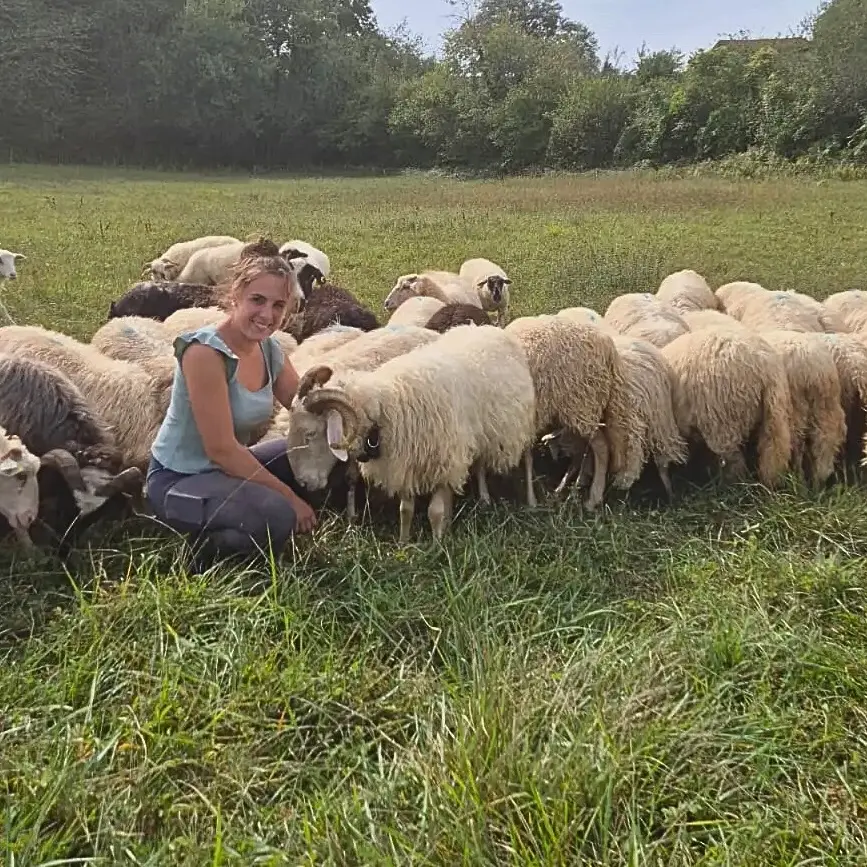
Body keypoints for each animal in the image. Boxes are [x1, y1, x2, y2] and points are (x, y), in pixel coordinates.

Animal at [295, 324, 537, 542]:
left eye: (312, 433)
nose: (302, 483)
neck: (387, 407)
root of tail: (488, 328)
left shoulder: (443, 463)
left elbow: (435, 511)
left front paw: (438, 545)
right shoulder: (406, 463)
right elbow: (406, 509)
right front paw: (404, 544)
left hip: (522, 424)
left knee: (525, 459)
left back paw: (527, 500)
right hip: (479, 434)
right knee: (478, 464)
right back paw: (483, 499)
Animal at [760, 330, 847, 489]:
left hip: (796, 404)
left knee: (797, 442)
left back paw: (798, 479)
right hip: (825, 404)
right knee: (825, 440)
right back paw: (818, 481)